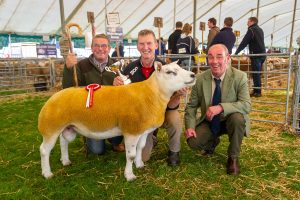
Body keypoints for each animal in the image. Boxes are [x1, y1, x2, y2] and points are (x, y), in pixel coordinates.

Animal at [38, 61, 196, 181]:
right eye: (170, 72)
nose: (193, 75)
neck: (151, 94)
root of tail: (53, 96)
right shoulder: (131, 131)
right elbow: (130, 155)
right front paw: (129, 175)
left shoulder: (143, 131)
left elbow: (140, 148)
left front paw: (139, 165)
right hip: (51, 127)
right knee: (44, 150)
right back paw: (47, 173)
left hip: (67, 126)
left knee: (63, 142)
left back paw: (65, 161)